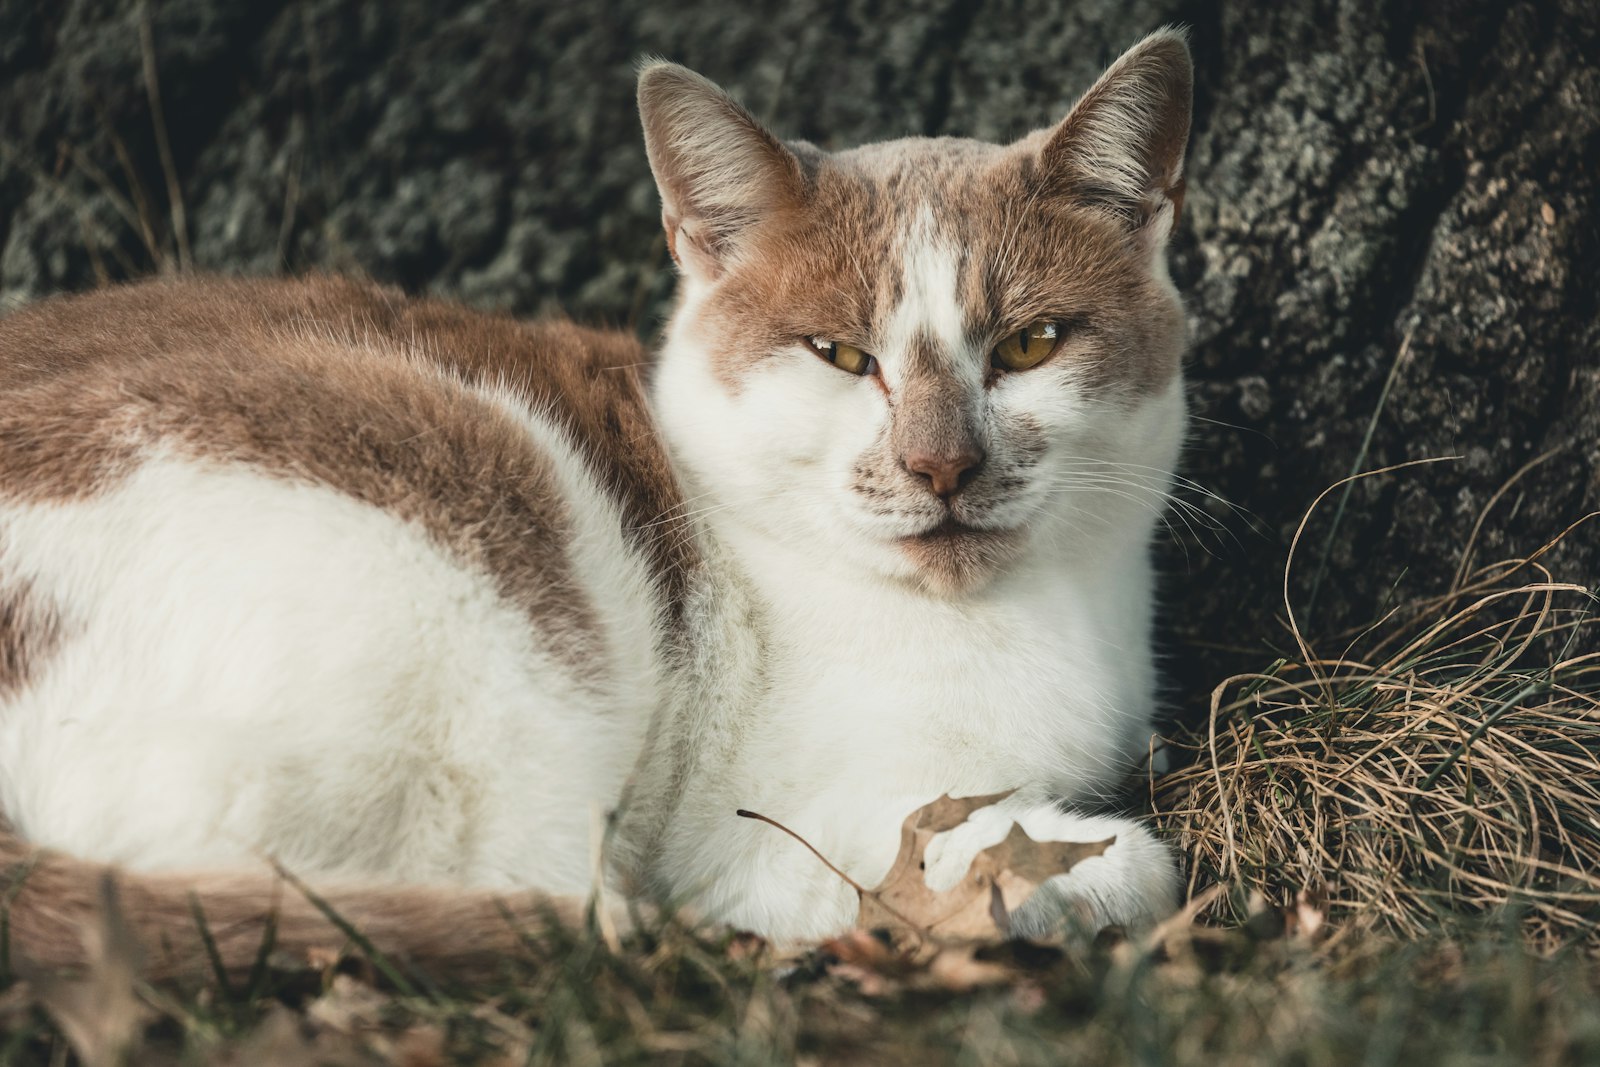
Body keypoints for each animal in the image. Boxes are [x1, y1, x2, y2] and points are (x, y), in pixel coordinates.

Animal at [0, 27, 1196, 979]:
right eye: (842, 355)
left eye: (1031, 345)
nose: (939, 465)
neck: (1025, 618)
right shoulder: (755, 826)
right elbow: (1099, 862)